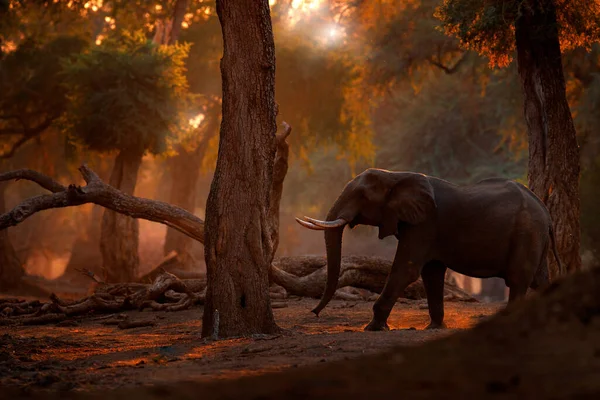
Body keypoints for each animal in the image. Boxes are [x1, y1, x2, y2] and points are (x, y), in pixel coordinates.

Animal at [296, 167, 564, 330]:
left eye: (361, 195)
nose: (314, 313)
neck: (396, 176)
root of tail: (546, 210)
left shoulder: (424, 224)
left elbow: (407, 269)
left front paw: (372, 328)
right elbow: (431, 273)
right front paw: (434, 327)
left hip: (527, 232)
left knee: (518, 279)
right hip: (535, 236)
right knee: (539, 279)